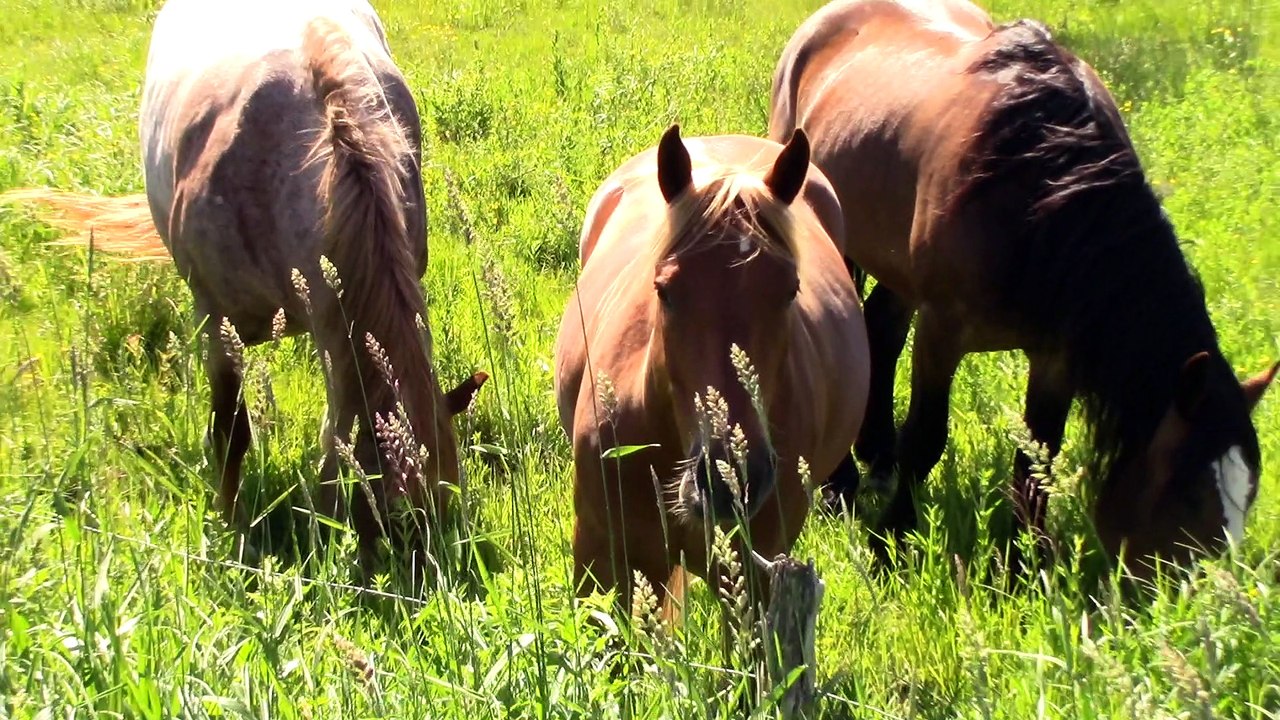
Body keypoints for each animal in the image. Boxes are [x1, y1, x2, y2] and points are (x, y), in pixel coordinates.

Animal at [3, 0, 487, 570]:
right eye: (397, 518)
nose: (421, 581)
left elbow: (334, 425)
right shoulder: (216, 320)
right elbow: (231, 433)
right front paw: (232, 532)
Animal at [768, 0, 1277, 575]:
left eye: (1250, 493)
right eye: (1188, 494)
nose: (1210, 590)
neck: (1037, 194)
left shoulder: (1054, 355)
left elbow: (1039, 457)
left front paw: (1022, 563)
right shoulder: (944, 330)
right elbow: (926, 438)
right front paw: (891, 541)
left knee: (881, 330)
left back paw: (876, 458)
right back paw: (842, 485)